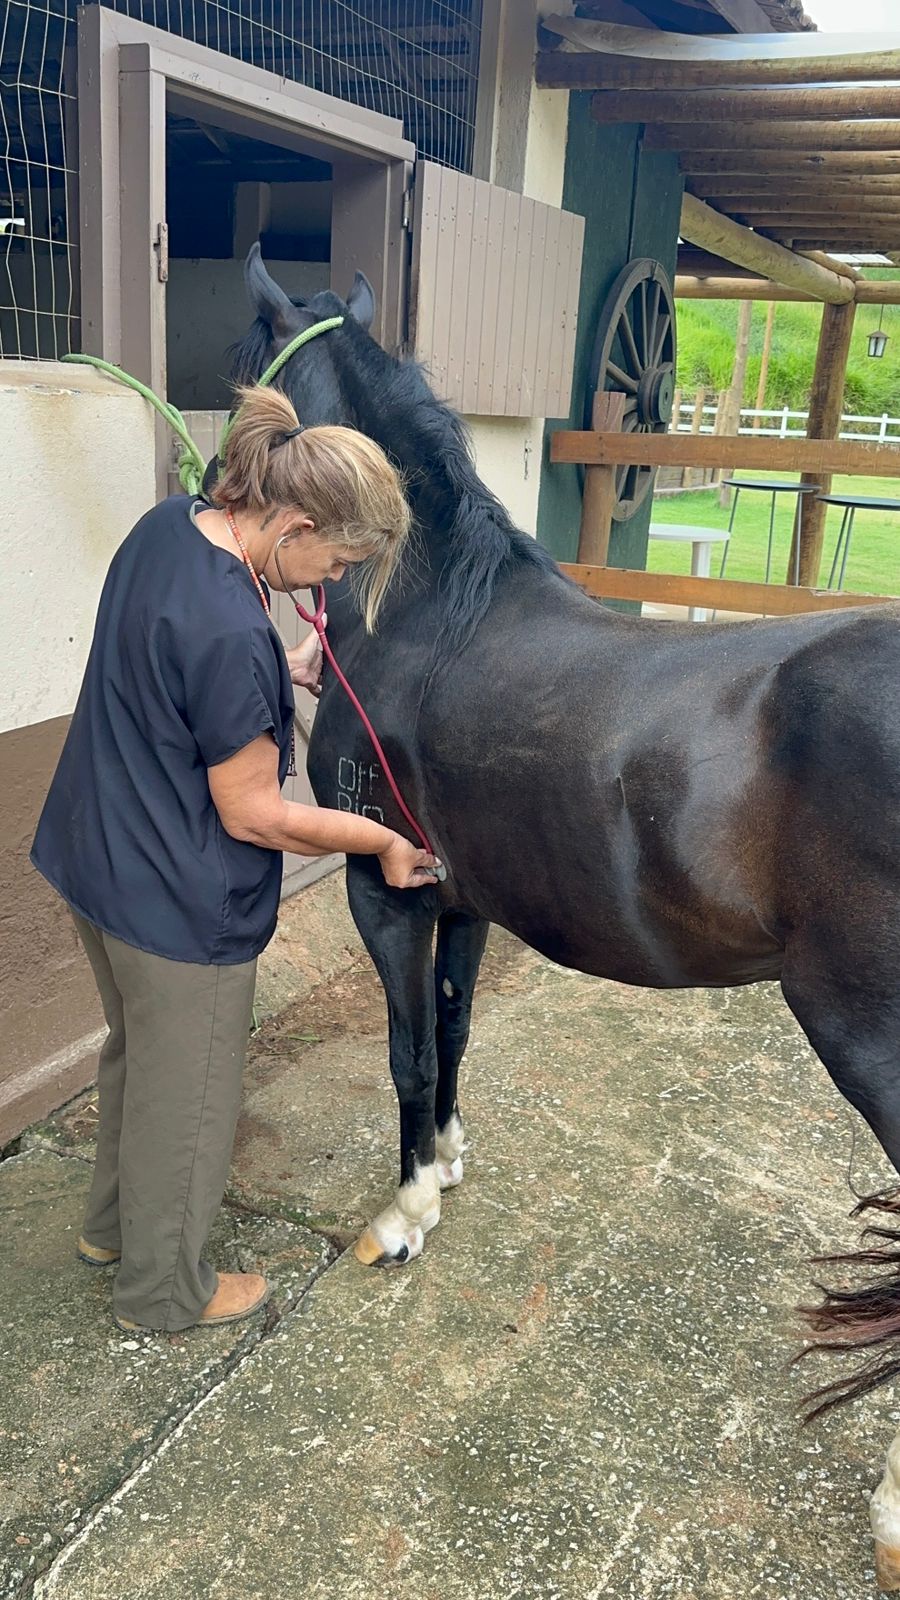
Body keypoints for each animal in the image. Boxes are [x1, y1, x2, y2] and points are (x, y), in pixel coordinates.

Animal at [222, 245, 900, 1459]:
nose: (206, 485)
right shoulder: (463, 903)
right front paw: (445, 1164)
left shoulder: (384, 894)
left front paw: (405, 1215)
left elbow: (407, 1050)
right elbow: (452, 1031)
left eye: (238, 373)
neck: (428, 614)